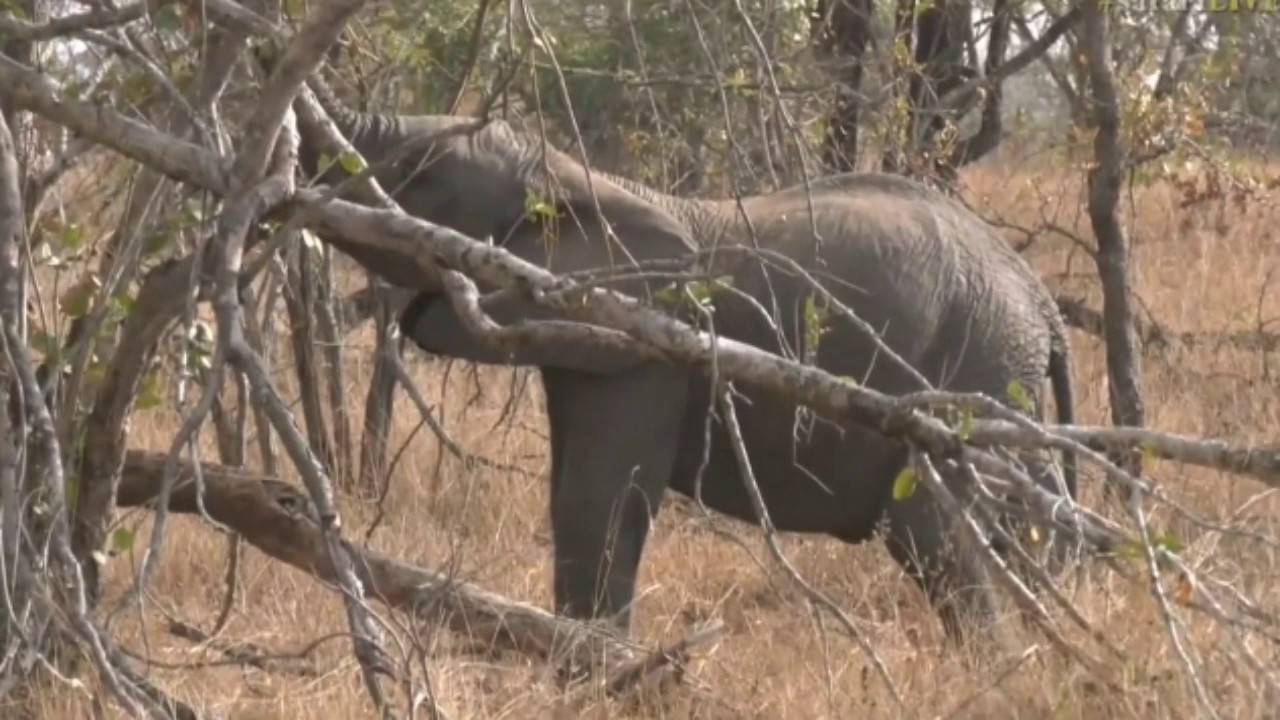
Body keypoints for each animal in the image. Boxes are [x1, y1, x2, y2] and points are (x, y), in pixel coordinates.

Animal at [296, 86, 1079, 648]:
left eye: (415, 173)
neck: (578, 175)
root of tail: (1042, 303)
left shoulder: (653, 350)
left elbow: (597, 504)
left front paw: (595, 679)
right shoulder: (589, 338)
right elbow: (575, 495)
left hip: (970, 366)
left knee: (938, 534)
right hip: (1000, 371)